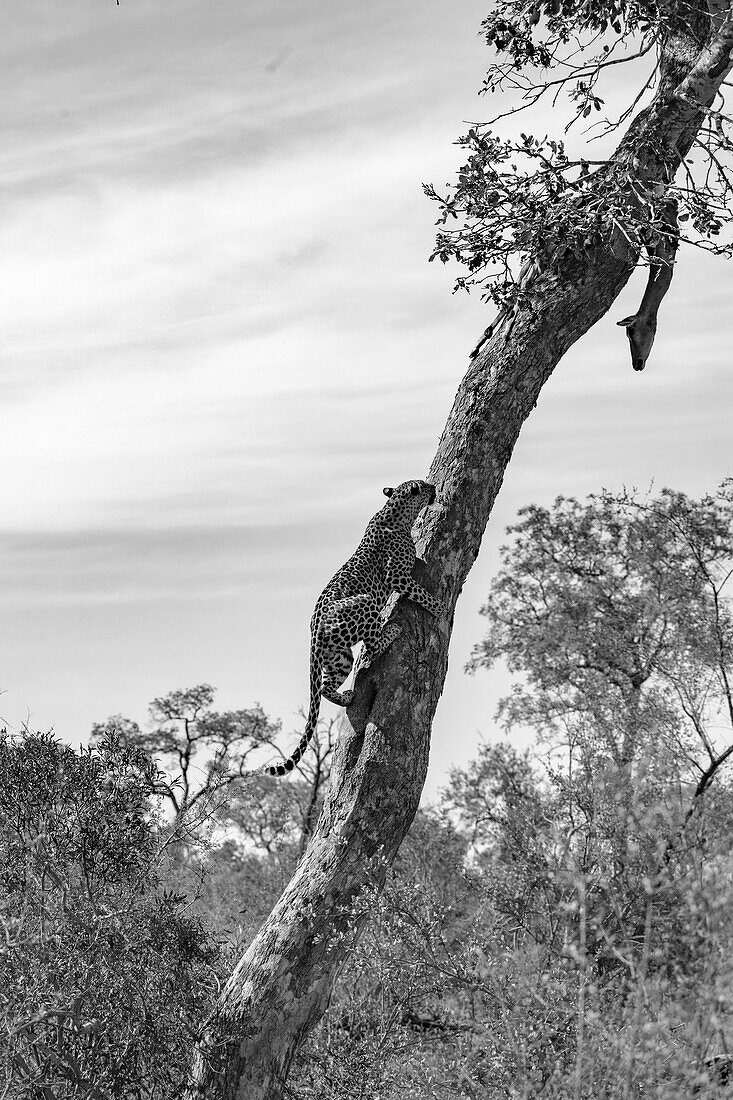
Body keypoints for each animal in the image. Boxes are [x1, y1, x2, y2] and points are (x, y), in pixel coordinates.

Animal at [264, 477, 440, 778]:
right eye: (424, 484)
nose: (434, 488)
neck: (394, 512)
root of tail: (313, 635)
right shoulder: (397, 576)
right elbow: (420, 592)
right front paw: (438, 606)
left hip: (340, 656)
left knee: (326, 686)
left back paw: (346, 697)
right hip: (364, 603)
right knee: (372, 646)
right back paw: (391, 630)